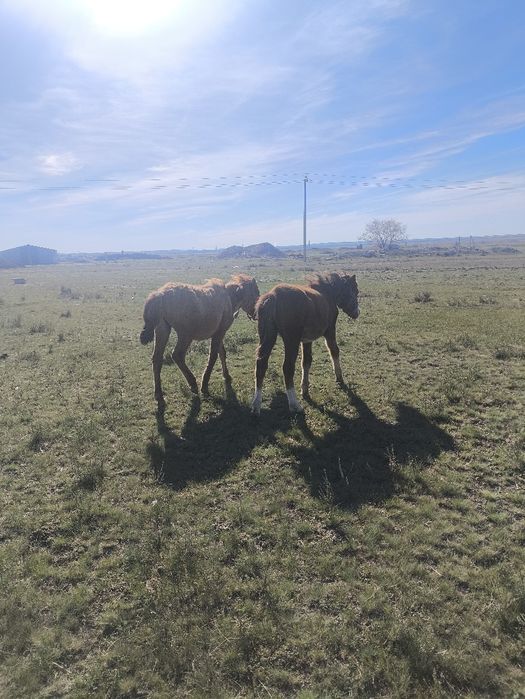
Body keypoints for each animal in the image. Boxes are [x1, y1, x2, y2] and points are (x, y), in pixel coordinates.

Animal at [140, 274, 259, 411]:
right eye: (256, 292)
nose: (256, 313)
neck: (229, 297)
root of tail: (160, 294)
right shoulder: (219, 333)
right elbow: (213, 357)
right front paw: (205, 385)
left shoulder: (218, 333)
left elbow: (222, 353)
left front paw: (226, 376)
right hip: (185, 335)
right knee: (177, 355)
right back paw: (193, 383)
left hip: (162, 330)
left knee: (157, 359)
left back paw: (159, 395)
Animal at [251, 271, 359, 415]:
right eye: (355, 291)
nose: (357, 313)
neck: (327, 293)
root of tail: (273, 296)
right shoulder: (330, 330)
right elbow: (334, 351)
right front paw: (339, 378)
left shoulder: (307, 340)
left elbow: (306, 361)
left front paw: (305, 388)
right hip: (291, 340)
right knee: (287, 367)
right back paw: (294, 405)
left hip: (268, 337)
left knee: (261, 364)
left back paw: (256, 405)